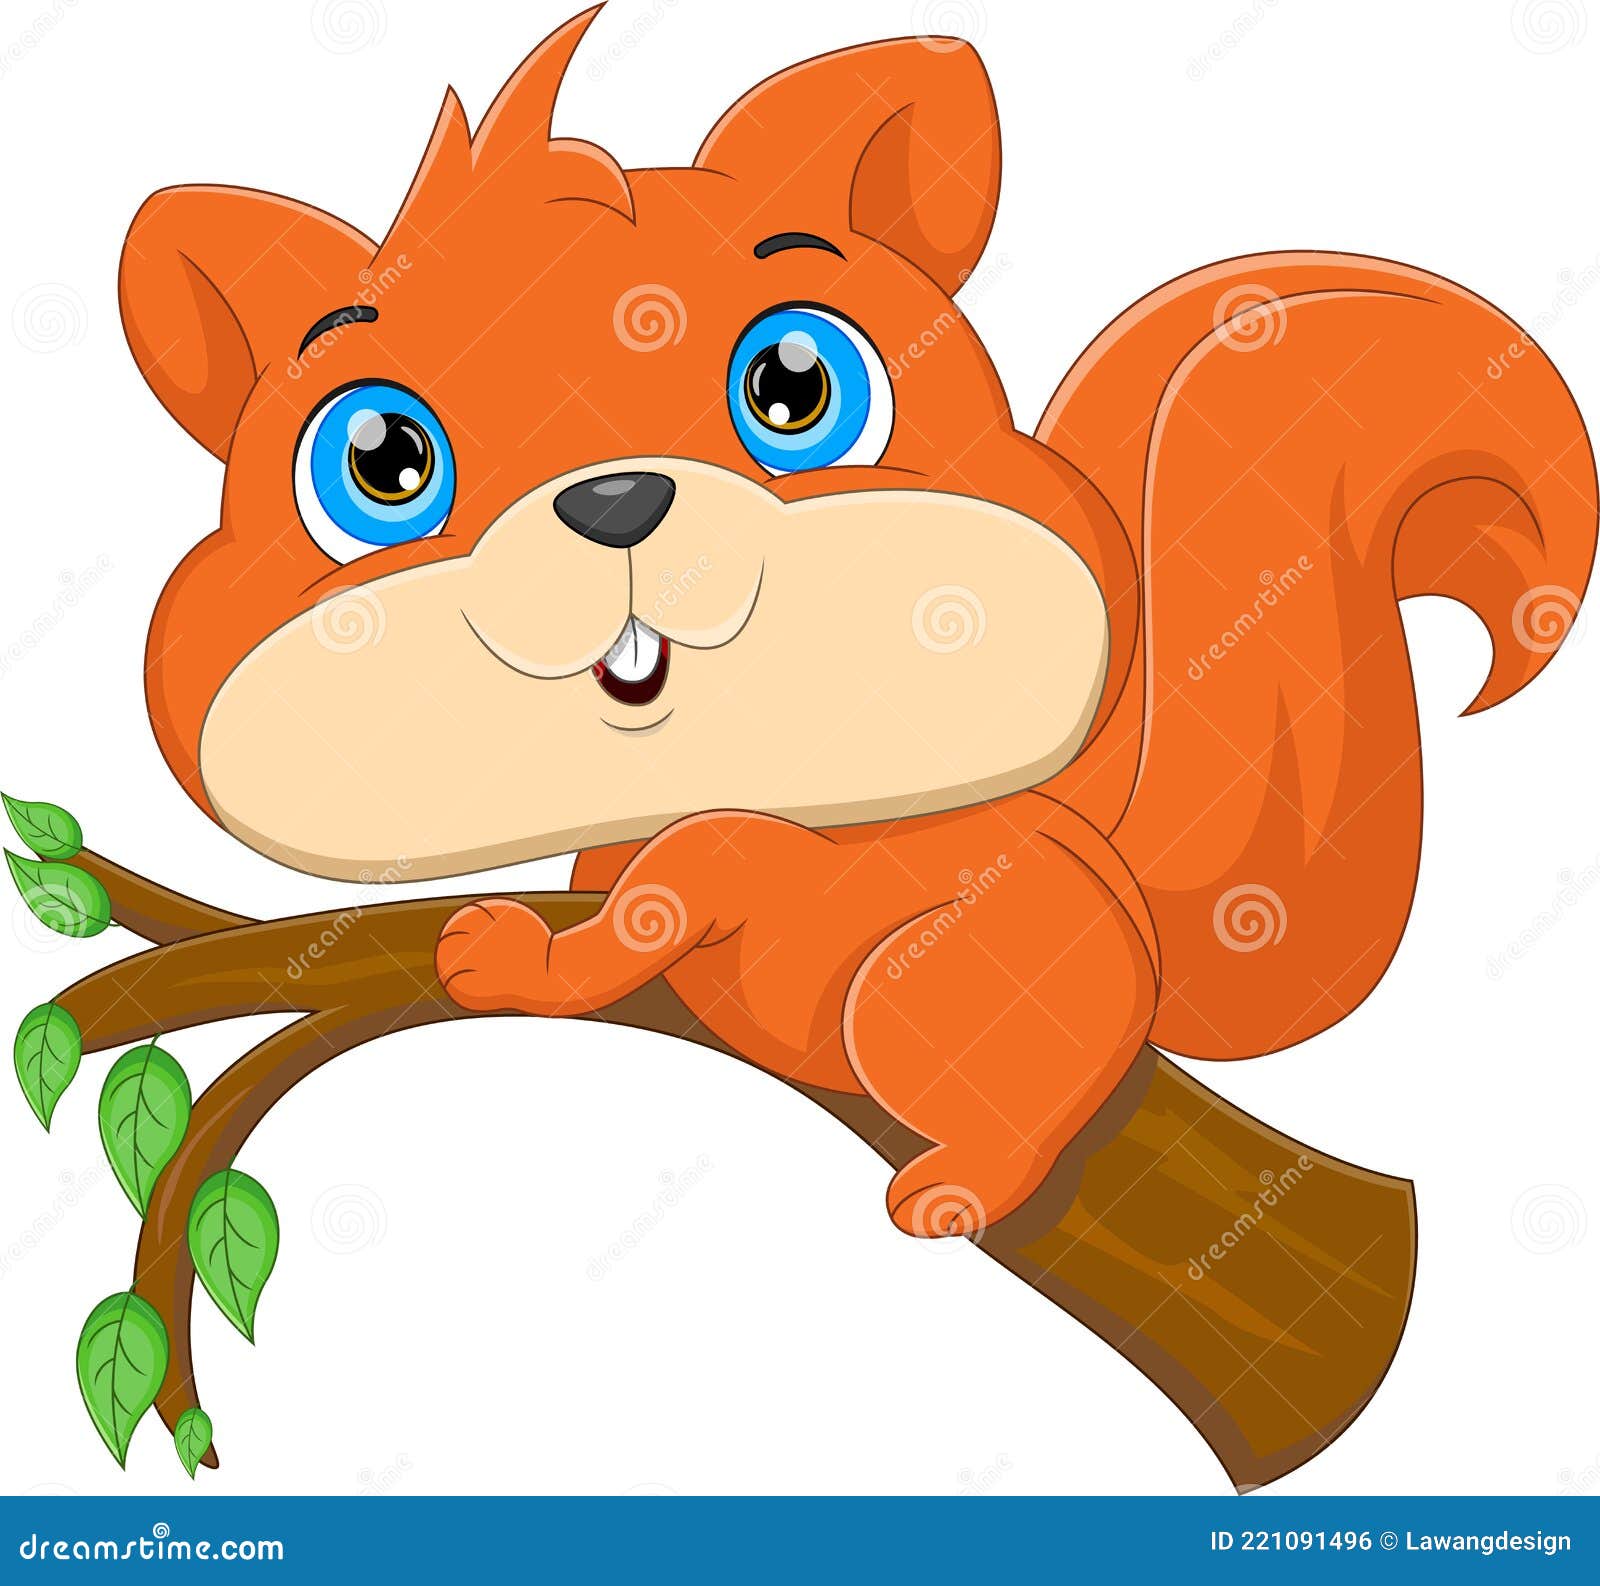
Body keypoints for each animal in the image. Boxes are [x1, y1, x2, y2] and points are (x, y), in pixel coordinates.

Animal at [118, 10, 1595, 1238]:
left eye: (795, 386)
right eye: (381, 462)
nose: (616, 498)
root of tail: (1146, 943)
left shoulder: (729, 859)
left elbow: (647, 914)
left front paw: (510, 953)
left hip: (927, 992)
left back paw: (969, 1180)